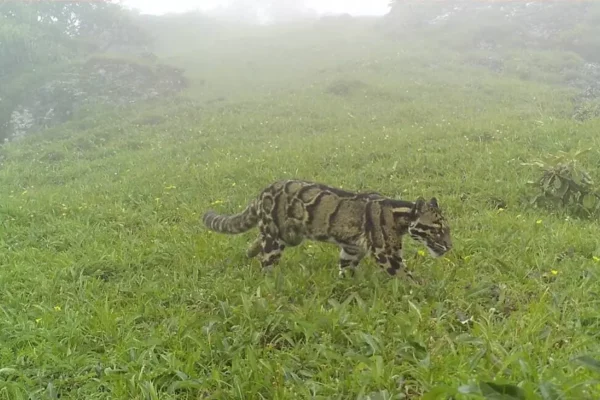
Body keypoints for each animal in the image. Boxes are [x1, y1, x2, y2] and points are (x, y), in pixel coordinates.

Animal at [202, 180, 450, 280]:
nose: (449, 246)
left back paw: (249, 251)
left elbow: (346, 269)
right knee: (266, 263)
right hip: (276, 239)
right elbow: (406, 277)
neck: (401, 215)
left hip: (289, 236)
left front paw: (346, 286)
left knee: (257, 239)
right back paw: (269, 281)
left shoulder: (351, 249)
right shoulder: (387, 254)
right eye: (437, 229)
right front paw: (423, 292)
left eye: (447, 229)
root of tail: (263, 191)